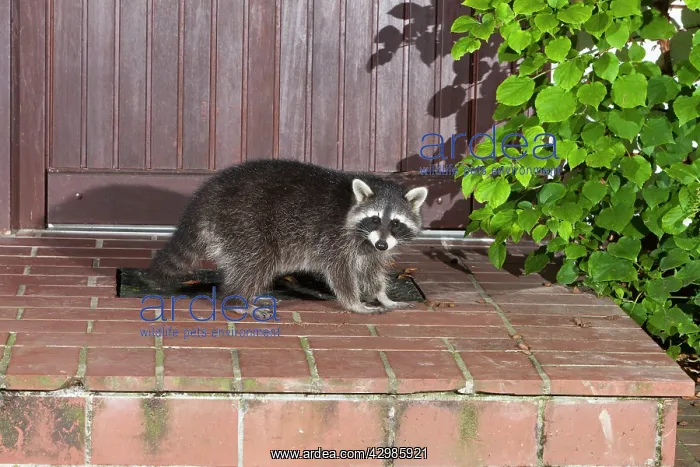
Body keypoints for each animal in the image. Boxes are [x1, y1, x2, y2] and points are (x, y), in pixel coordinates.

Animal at [147, 159, 429, 314]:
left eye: (395, 223)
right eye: (374, 219)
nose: (382, 244)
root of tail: (206, 197)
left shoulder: (369, 247)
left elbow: (372, 270)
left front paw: (383, 296)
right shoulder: (334, 238)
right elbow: (340, 272)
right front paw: (354, 302)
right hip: (245, 222)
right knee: (256, 261)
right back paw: (238, 299)